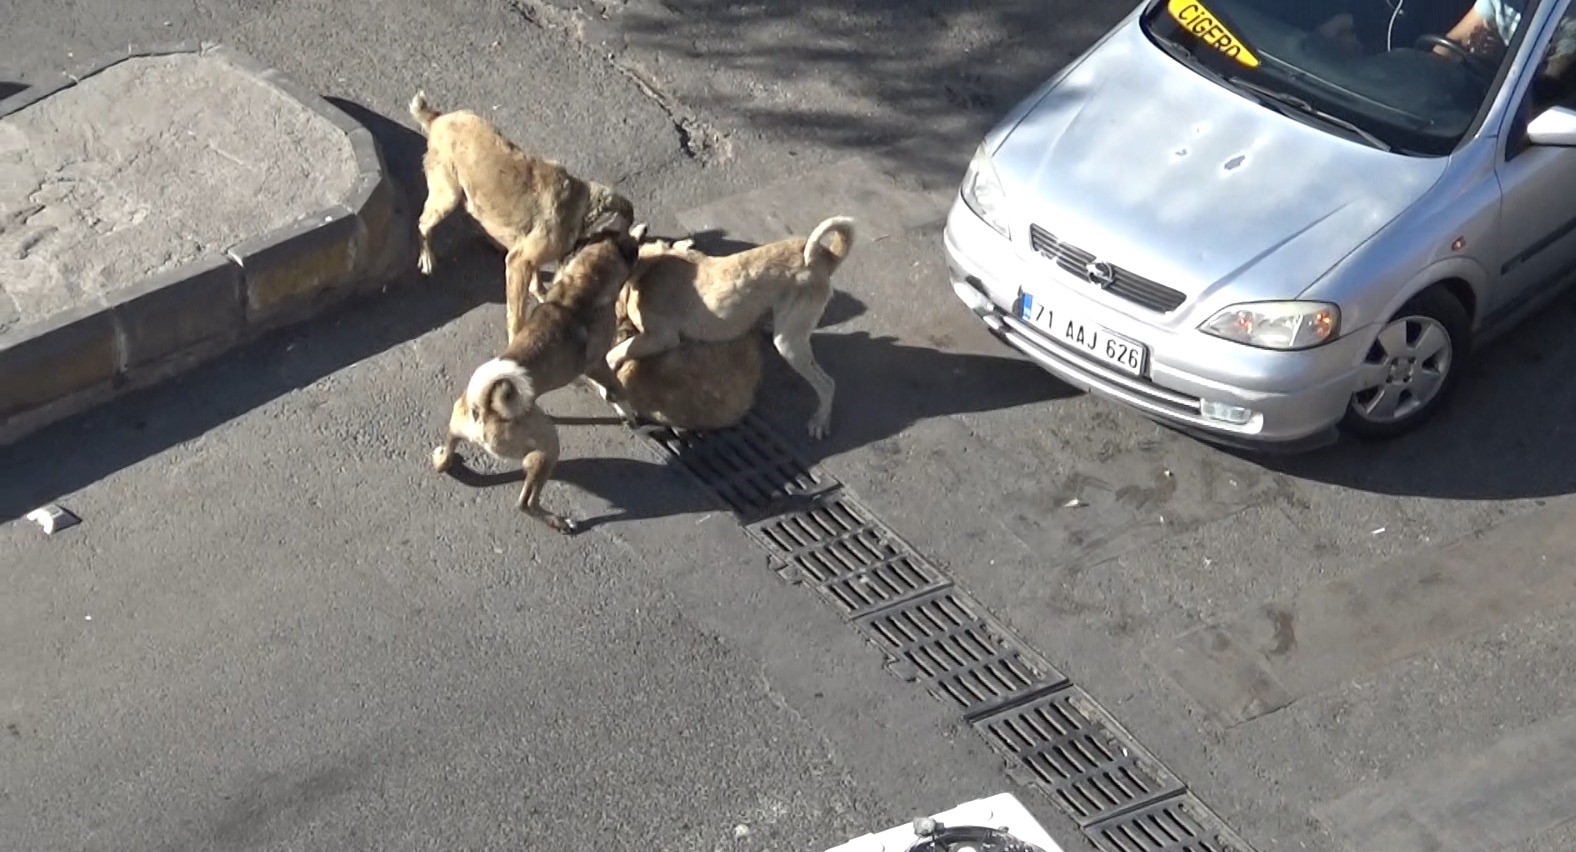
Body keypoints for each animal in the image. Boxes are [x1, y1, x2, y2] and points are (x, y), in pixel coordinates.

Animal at [431, 222, 639, 535]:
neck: (582, 284)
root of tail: (484, 407)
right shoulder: (597, 365)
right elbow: (617, 388)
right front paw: (630, 413)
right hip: (548, 447)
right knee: (526, 502)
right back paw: (559, 521)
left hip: (461, 427)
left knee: (449, 449)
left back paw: (444, 458)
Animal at [602, 217, 857, 437]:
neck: (645, 265)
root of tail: (826, 255)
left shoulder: (660, 337)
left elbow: (612, 355)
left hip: (789, 345)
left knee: (827, 384)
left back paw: (820, 420)